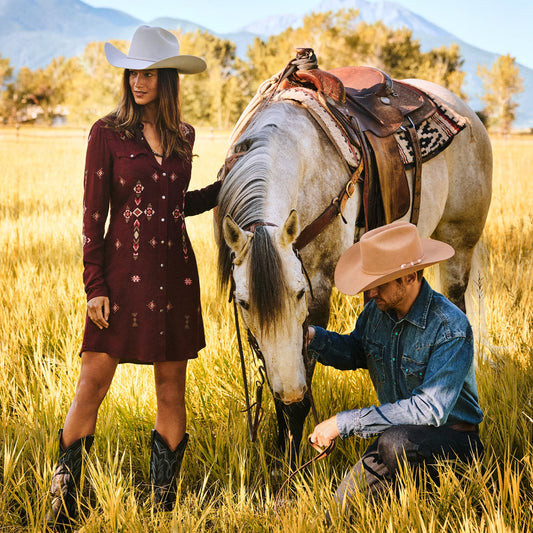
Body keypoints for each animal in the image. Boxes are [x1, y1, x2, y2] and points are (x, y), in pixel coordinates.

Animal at [212, 56, 490, 460]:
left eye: (299, 293)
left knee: (457, 304)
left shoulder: (317, 286)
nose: (289, 388)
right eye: (244, 303)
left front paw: (292, 460)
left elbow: (303, 378)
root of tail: (465, 110)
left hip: (461, 242)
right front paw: (280, 452)